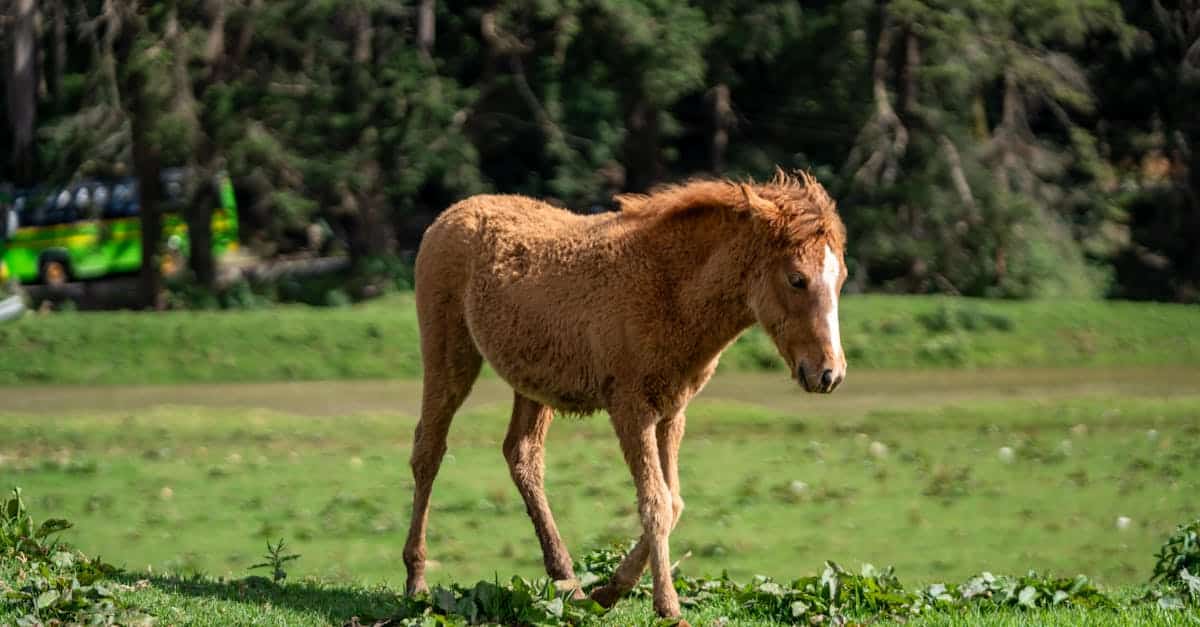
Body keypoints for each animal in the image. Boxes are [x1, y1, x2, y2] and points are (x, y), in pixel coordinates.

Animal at [403, 168, 847, 623]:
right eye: (797, 279)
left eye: (841, 280)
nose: (829, 373)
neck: (670, 286)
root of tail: (451, 214)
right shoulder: (631, 409)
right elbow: (656, 502)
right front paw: (668, 607)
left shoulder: (672, 412)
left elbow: (674, 502)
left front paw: (609, 591)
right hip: (449, 356)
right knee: (429, 451)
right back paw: (416, 579)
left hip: (531, 380)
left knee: (522, 456)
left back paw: (569, 582)